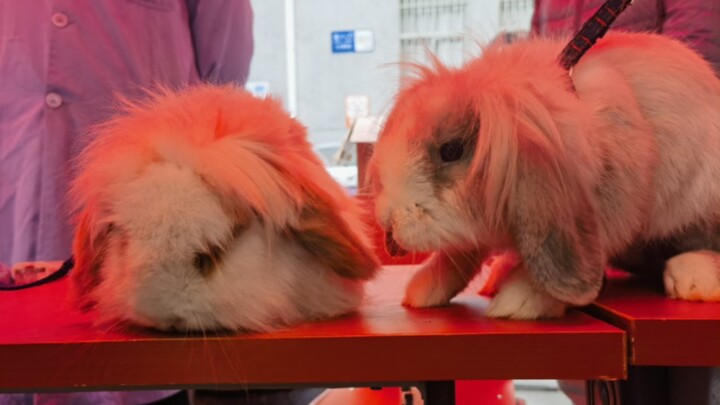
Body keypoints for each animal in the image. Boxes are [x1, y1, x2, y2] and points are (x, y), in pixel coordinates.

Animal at [368, 31, 720, 318]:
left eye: (451, 150)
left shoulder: (600, 205)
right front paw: (423, 290)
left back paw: (693, 276)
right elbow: (462, 252)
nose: (388, 221)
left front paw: (520, 300)